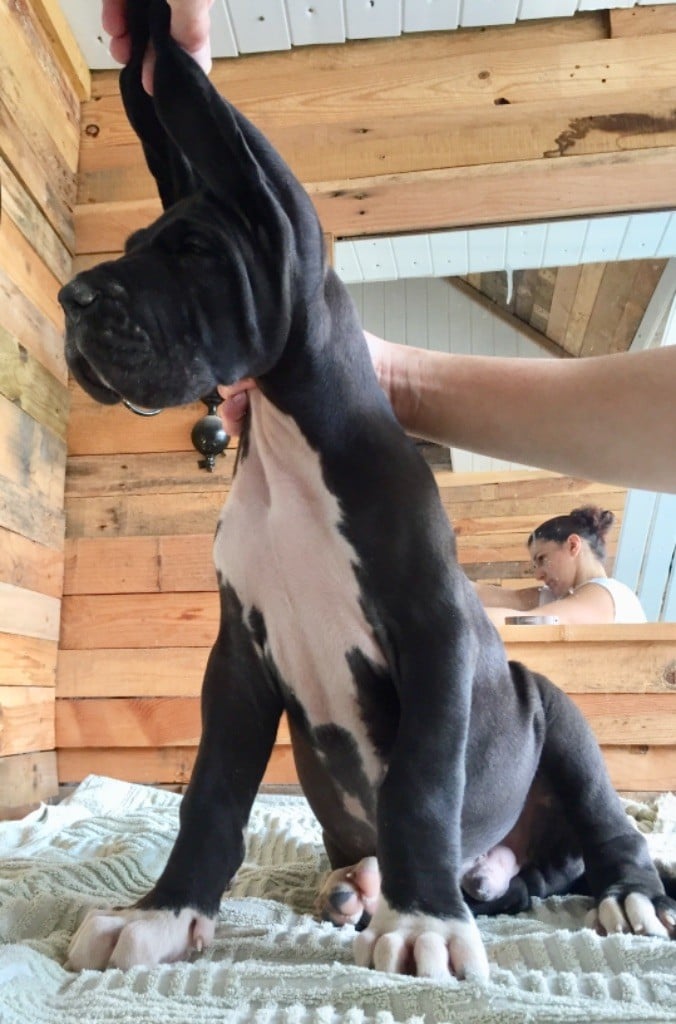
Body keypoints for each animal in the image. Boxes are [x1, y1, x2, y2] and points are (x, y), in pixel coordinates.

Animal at [58, 0, 675, 980]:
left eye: (193, 250)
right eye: (132, 249)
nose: (71, 297)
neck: (286, 440)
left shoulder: (434, 632)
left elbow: (421, 783)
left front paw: (427, 924)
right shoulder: (239, 658)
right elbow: (211, 792)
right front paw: (164, 912)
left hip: (557, 711)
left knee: (613, 829)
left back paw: (620, 896)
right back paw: (361, 885)